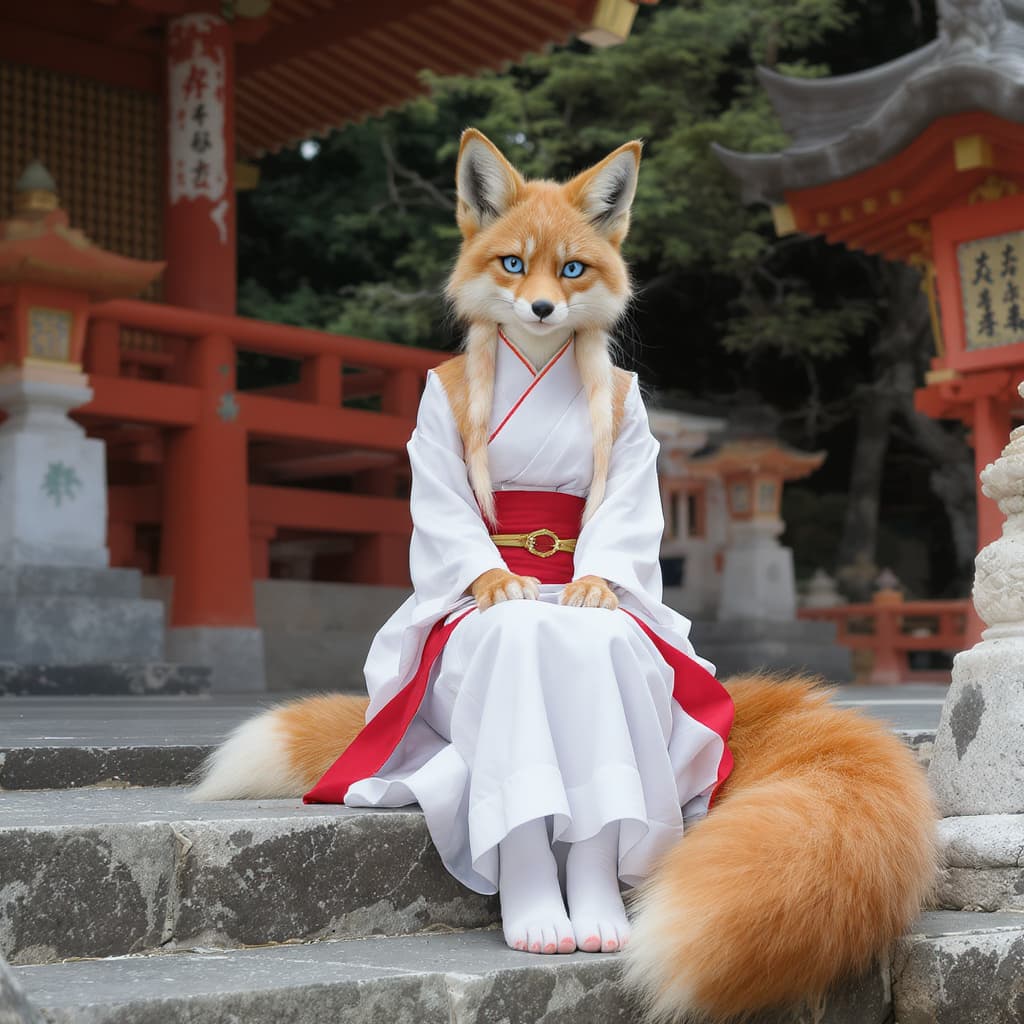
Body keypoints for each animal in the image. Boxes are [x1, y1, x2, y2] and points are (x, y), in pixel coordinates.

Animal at [194, 129, 936, 1021]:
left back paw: (593, 911)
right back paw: (539, 916)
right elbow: (465, 544)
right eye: (514, 265)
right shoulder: (433, 430)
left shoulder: (636, 436)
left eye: (573, 270)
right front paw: (500, 583)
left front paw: (588, 585)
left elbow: (613, 556)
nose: (544, 310)